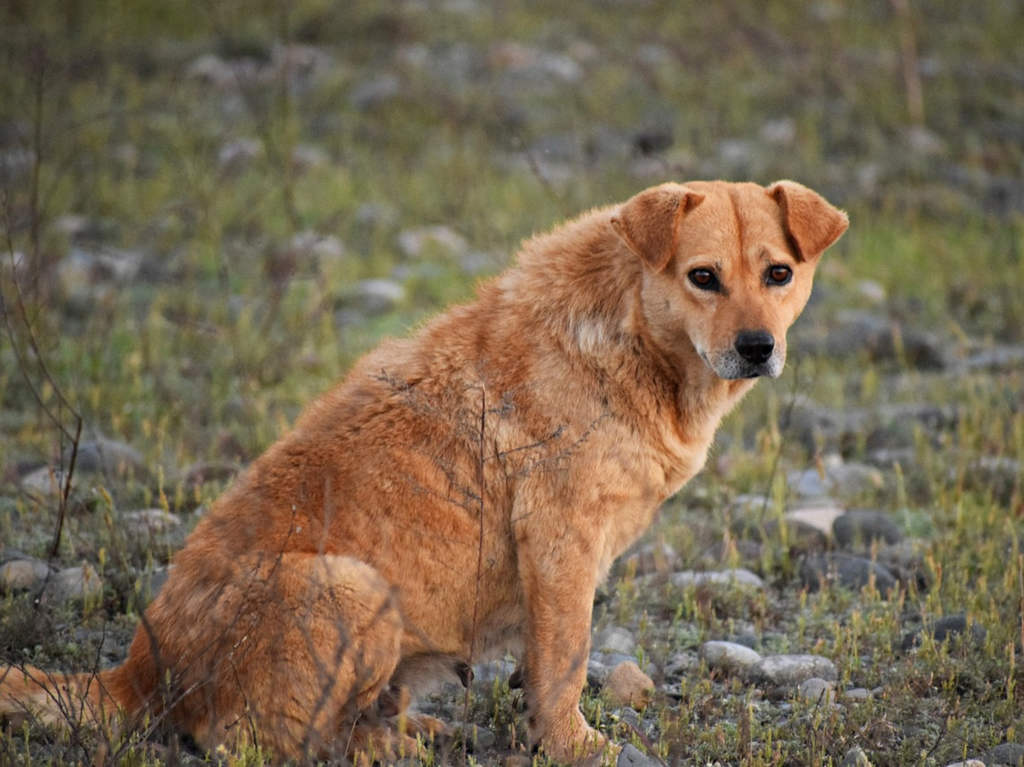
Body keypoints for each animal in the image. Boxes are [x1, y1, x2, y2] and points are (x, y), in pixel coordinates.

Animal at [0, 179, 847, 761]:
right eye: (704, 276)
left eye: (777, 274)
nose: (756, 347)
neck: (634, 336)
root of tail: (135, 672)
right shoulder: (561, 540)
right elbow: (565, 664)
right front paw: (573, 745)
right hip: (352, 586)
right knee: (264, 740)